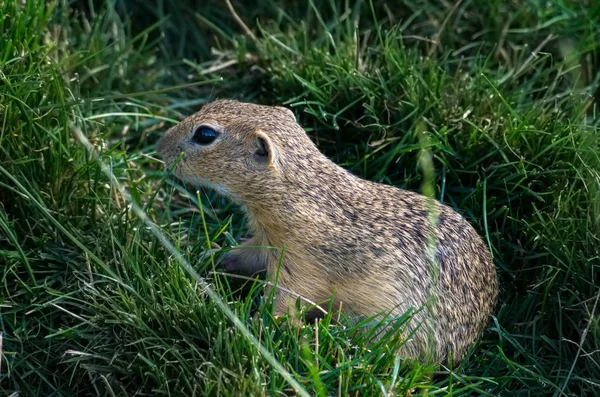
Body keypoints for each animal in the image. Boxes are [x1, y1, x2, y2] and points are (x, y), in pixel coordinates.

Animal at [157, 98, 500, 362]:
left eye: (205, 134)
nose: (161, 146)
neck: (298, 192)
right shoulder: (267, 243)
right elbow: (247, 254)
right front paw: (208, 256)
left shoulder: (299, 266)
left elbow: (282, 301)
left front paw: (253, 325)